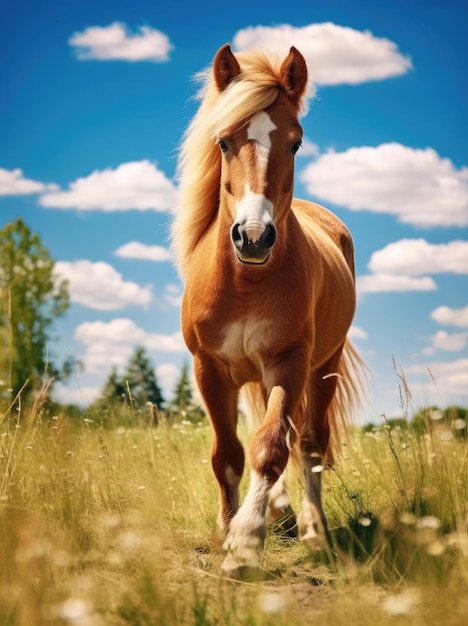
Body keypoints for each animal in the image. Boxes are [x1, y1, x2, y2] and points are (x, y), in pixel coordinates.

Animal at [173, 44, 366, 576]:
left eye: (296, 144)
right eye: (222, 142)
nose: (254, 236)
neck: (245, 282)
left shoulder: (289, 363)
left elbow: (271, 447)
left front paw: (245, 542)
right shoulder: (210, 369)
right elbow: (227, 454)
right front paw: (228, 528)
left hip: (323, 367)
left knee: (311, 442)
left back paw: (313, 528)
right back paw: (280, 511)